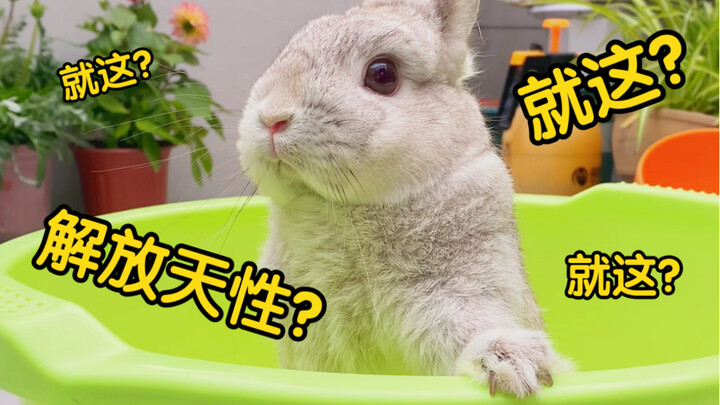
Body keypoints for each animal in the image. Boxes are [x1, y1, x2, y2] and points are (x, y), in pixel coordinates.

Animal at [236, 0, 571, 398]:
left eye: (382, 74)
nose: (272, 117)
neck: (349, 209)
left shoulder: (460, 290)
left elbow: (472, 324)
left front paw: (516, 366)